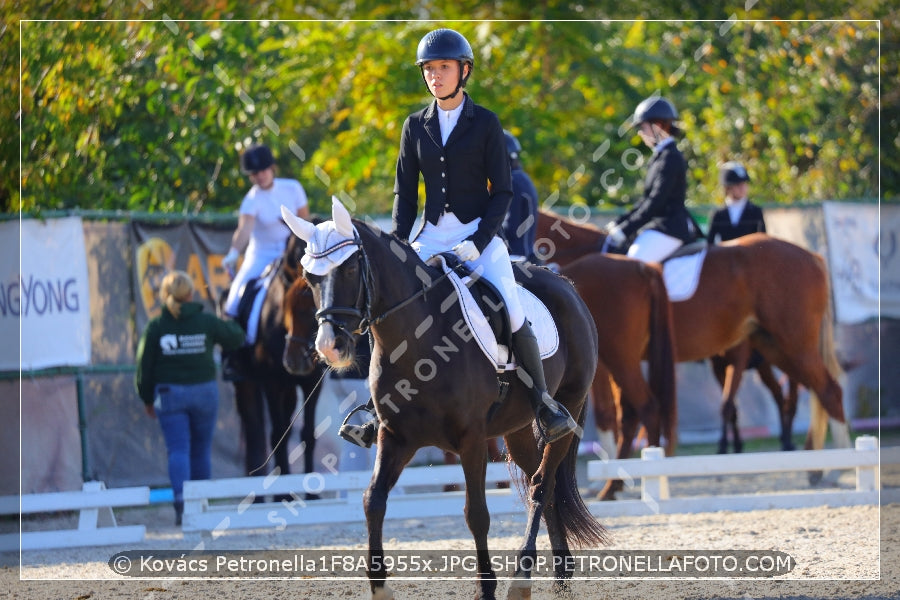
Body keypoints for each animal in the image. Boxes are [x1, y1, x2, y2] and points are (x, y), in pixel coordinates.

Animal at [282, 200, 604, 600]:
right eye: (310, 278)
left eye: (352, 267)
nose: (330, 346)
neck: (417, 341)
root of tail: (566, 286)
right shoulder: (395, 437)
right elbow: (373, 501)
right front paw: (380, 587)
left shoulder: (471, 439)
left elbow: (476, 514)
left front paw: (486, 588)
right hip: (517, 428)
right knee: (543, 486)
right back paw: (561, 575)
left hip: (568, 407)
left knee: (542, 485)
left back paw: (522, 579)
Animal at [536, 209, 848, 500]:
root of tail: (812, 256)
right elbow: (617, 416)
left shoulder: (604, 364)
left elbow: (606, 416)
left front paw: (609, 480)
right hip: (775, 346)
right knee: (817, 392)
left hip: (792, 345)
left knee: (828, 391)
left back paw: (838, 469)